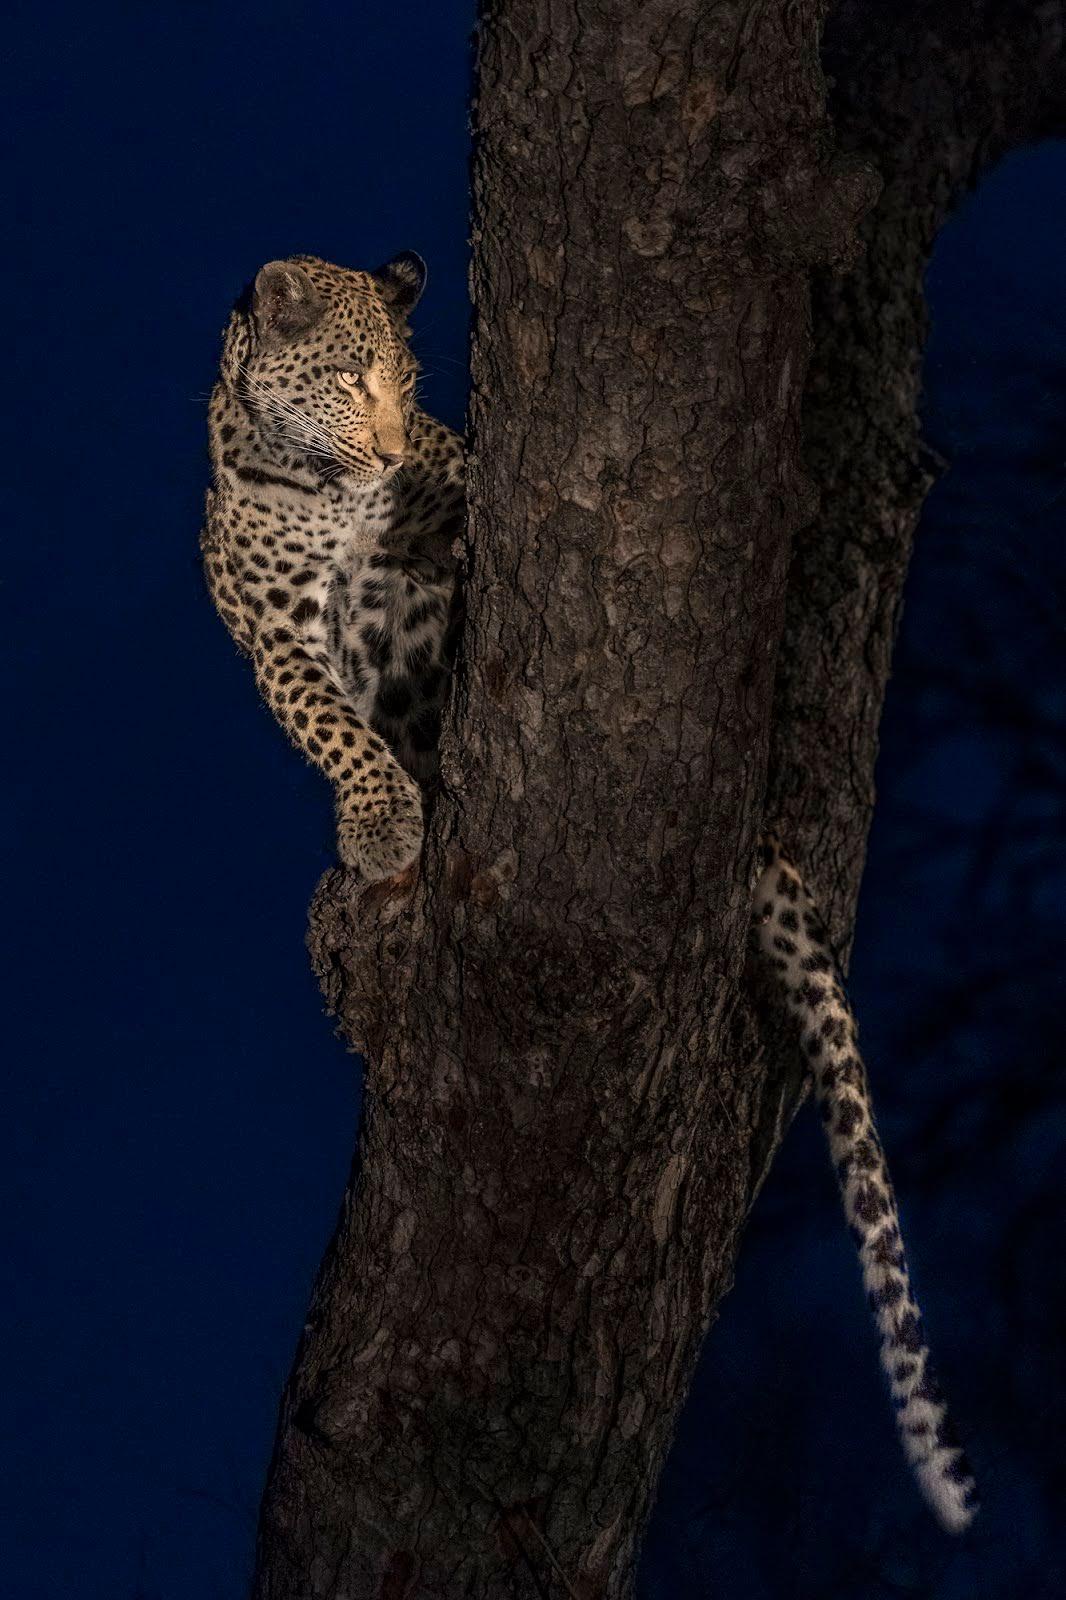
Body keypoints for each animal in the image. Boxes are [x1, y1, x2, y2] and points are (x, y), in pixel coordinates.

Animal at [202, 253, 976, 1532]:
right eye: (349, 375)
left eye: (407, 382)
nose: (384, 445)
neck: (308, 481)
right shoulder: (274, 637)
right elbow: (329, 723)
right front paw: (378, 819)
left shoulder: (436, 508)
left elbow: (458, 533)